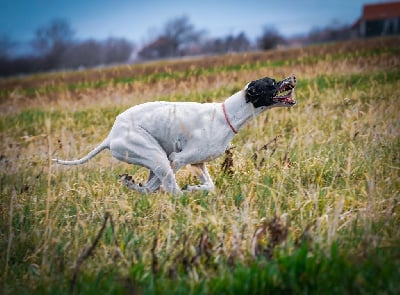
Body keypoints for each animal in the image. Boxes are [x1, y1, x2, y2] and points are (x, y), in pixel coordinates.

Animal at [53, 74, 296, 195]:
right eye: (272, 82)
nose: (293, 77)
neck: (227, 114)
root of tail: (111, 136)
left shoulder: (197, 164)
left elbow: (210, 186)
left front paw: (198, 188)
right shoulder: (178, 159)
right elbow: (163, 187)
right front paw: (192, 190)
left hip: (155, 161)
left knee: (154, 187)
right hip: (157, 158)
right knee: (166, 190)